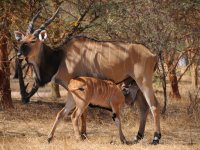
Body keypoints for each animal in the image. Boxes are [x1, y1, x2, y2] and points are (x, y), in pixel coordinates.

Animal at [13, 8, 161, 144]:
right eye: (23, 40)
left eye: (33, 40)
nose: (19, 54)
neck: (61, 58)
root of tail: (153, 55)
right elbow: (76, 112)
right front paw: (77, 135)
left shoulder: (78, 88)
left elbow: (82, 113)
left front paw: (83, 135)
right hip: (135, 83)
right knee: (143, 108)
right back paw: (138, 136)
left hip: (144, 81)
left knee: (153, 105)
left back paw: (156, 137)